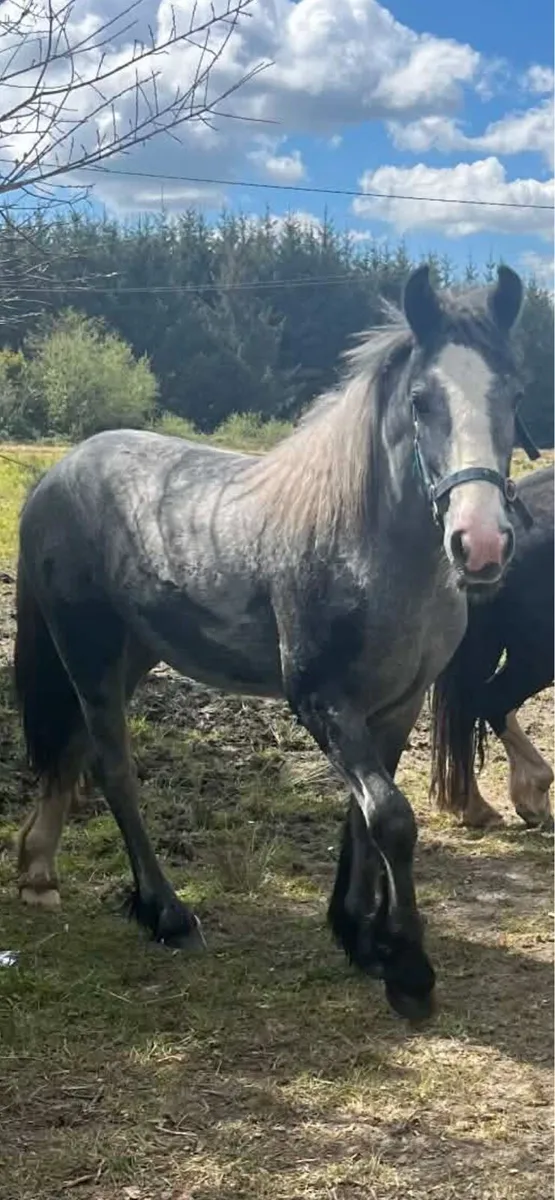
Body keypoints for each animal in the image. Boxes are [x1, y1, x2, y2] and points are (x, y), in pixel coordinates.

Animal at [13, 264, 534, 1021]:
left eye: (513, 394)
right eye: (420, 400)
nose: (482, 544)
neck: (364, 546)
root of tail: (56, 476)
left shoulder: (393, 706)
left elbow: (364, 815)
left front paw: (358, 934)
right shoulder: (322, 702)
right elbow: (392, 818)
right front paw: (407, 969)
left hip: (131, 655)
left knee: (73, 752)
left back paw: (38, 873)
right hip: (91, 653)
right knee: (113, 771)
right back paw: (167, 914)